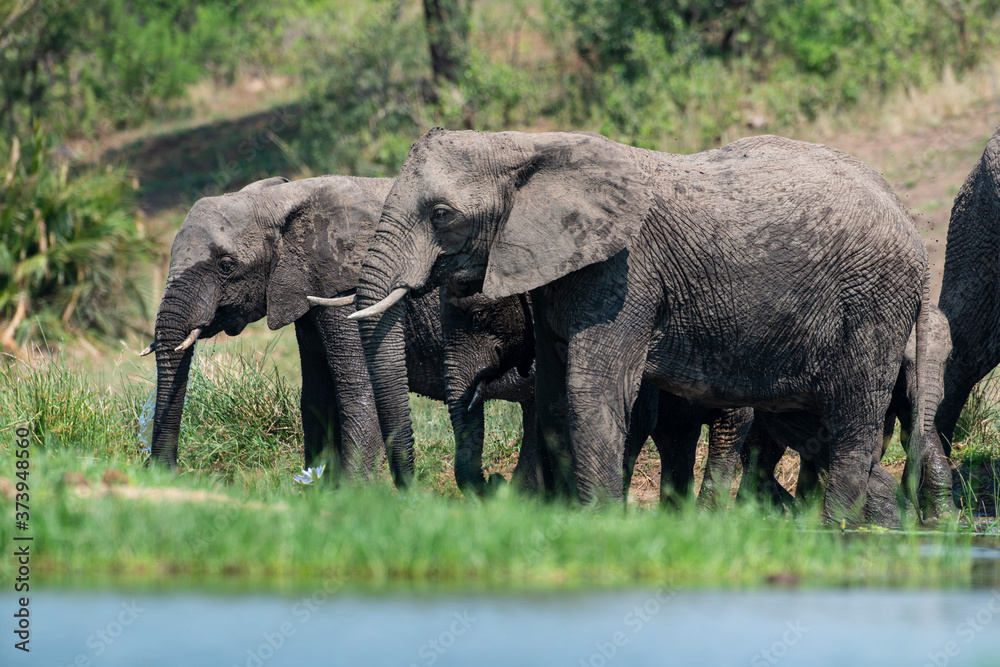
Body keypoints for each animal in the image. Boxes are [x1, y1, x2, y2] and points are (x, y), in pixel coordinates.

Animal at [146, 175, 534, 486]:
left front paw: (352, 498)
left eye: (226, 266)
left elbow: (356, 393)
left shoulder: (345, 288)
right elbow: (316, 397)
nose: (166, 473)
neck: (284, 198)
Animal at [348, 128, 939, 525]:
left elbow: (592, 390)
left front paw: (600, 523)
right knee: (818, 427)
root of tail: (909, 220)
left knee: (852, 424)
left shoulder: (624, 276)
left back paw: (837, 533)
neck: (526, 144)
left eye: (441, 215)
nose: (411, 496)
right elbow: (556, 395)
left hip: (872, 307)